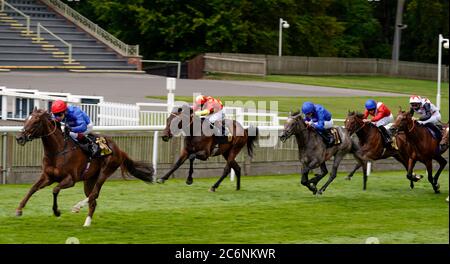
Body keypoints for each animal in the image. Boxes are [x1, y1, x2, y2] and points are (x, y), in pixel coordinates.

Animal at [14, 108, 155, 226]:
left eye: (36, 122)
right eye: (26, 119)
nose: (19, 138)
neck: (58, 150)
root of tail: (119, 150)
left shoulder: (70, 180)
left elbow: (55, 190)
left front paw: (56, 211)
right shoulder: (48, 177)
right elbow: (33, 188)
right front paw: (19, 209)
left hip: (105, 172)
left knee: (94, 194)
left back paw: (77, 207)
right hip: (89, 179)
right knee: (93, 200)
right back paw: (87, 223)